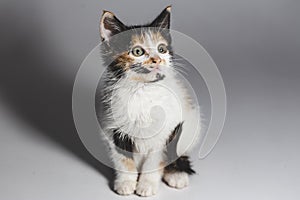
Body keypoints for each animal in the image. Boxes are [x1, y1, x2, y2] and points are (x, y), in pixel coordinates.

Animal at [98, 6, 202, 197]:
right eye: (137, 52)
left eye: (161, 49)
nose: (157, 59)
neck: (142, 89)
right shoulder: (113, 127)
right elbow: (123, 159)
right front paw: (125, 183)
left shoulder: (166, 130)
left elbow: (156, 160)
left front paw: (147, 185)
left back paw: (176, 174)